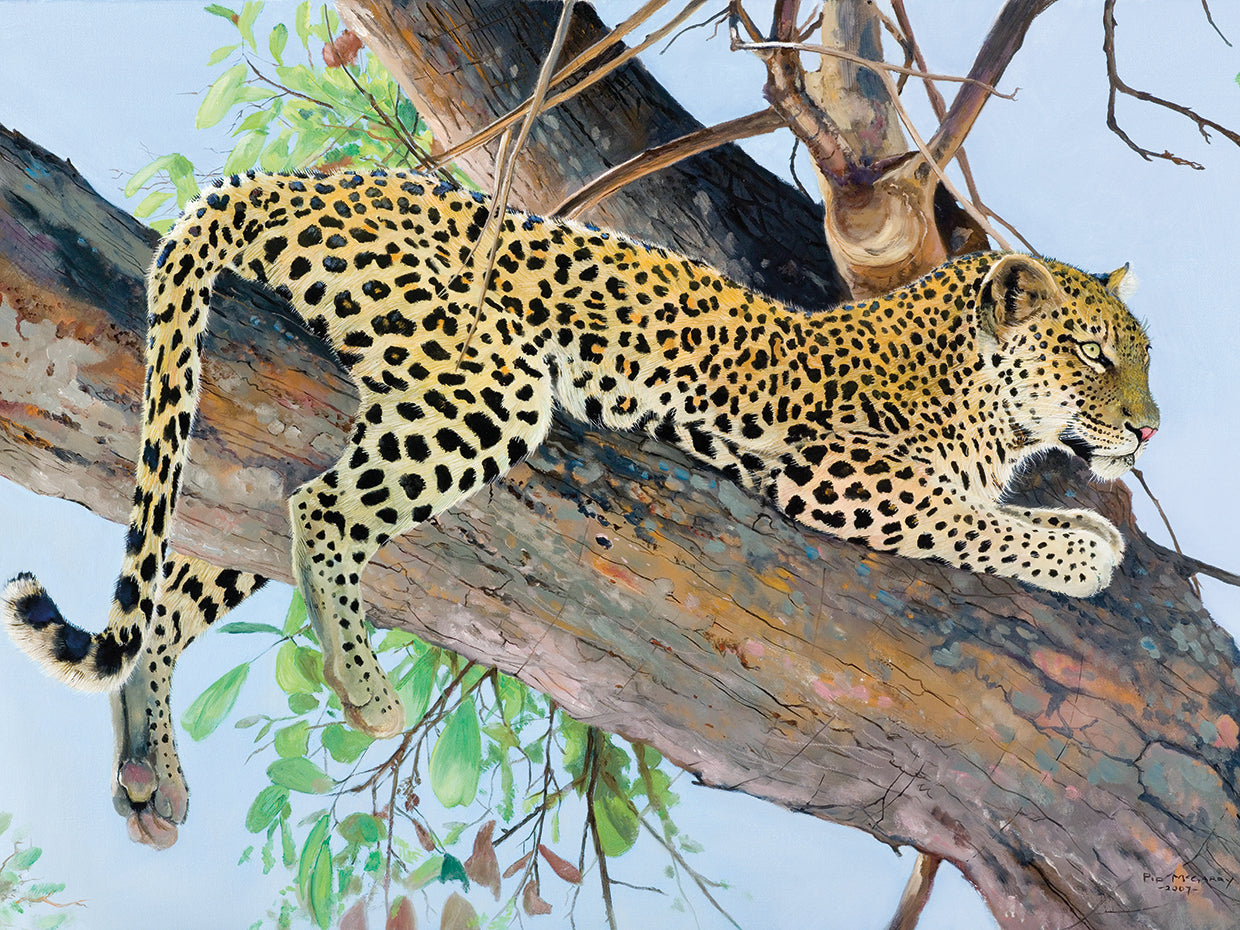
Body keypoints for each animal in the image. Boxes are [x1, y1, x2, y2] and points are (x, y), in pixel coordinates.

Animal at [2, 169, 1158, 843]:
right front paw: (1085, 547)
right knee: (321, 506)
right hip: (486, 378)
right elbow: (972, 519)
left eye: (1142, 360)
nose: (1148, 431)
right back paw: (365, 691)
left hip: (259, 473)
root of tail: (287, 173)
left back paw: (149, 770)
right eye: (1096, 357)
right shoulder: (834, 469)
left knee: (174, 591)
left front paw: (1080, 526)